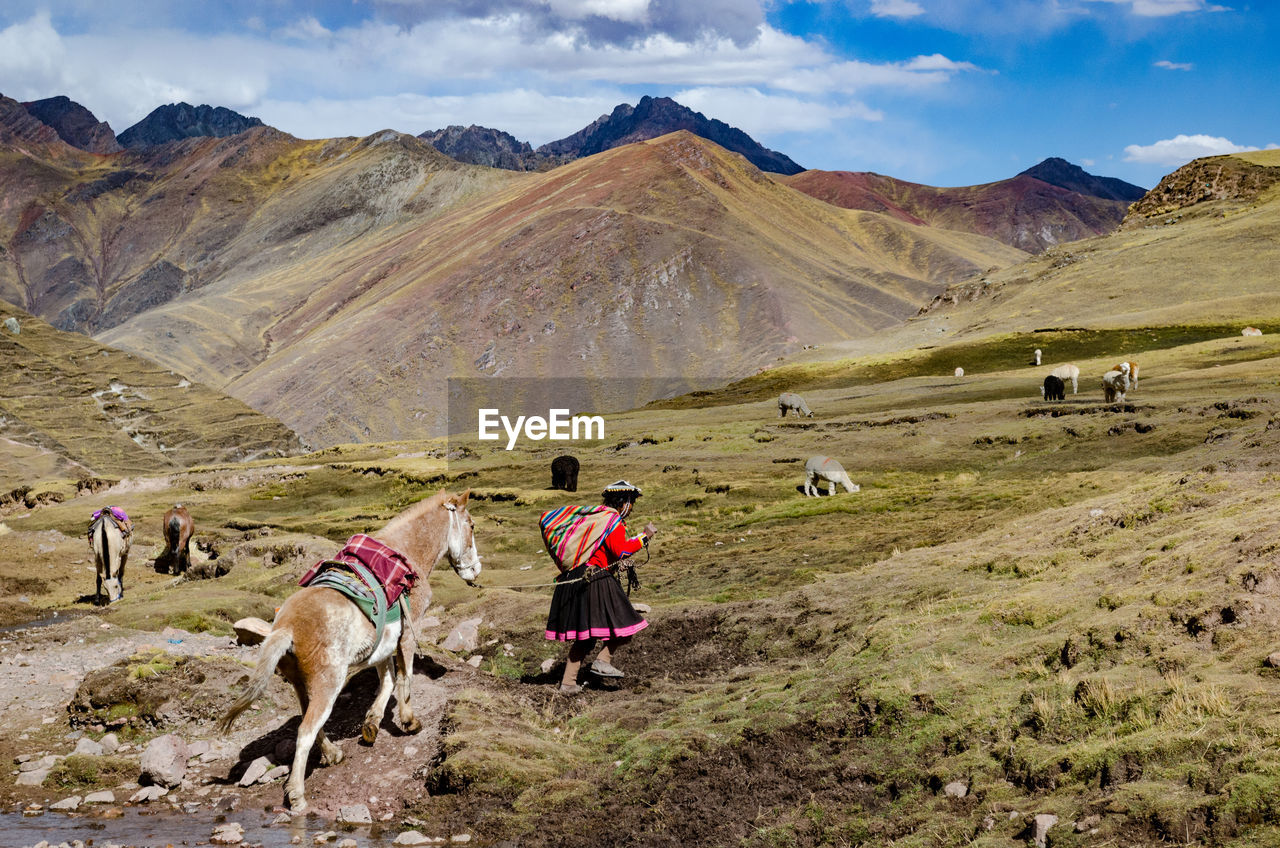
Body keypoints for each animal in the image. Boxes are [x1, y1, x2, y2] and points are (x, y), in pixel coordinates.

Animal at [220, 491, 481, 819]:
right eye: (471, 525)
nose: (476, 570)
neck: (408, 555)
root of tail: (286, 628)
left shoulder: (383, 641)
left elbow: (387, 680)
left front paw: (372, 724)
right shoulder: (408, 632)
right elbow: (405, 678)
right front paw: (409, 722)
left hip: (302, 684)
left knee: (310, 722)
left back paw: (333, 754)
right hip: (327, 683)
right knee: (306, 731)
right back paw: (297, 797)